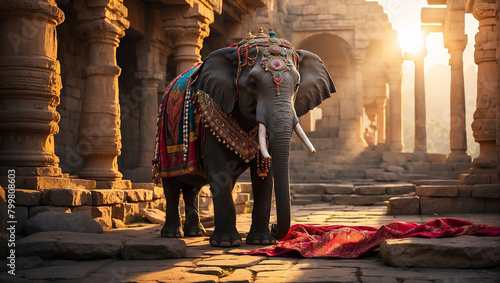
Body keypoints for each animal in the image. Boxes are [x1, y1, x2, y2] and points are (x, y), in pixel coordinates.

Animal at [153, 27, 336, 247]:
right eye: (253, 84)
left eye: (297, 85)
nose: (275, 226)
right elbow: (219, 170)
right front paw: (226, 243)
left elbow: (265, 175)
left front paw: (262, 241)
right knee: (171, 185)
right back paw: (172, 234)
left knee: (192, 187)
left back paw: (195, 232)